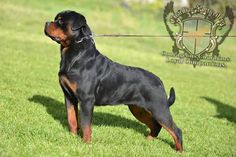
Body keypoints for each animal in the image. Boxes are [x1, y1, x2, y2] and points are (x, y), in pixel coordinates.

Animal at [45, 10, 183, 151]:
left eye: (60, 21)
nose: (47, 22)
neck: (75, 55)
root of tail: (160, 82)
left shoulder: (86, 100)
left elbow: (86, 124)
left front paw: (86, 143)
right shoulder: (69, 97)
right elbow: (72, 118)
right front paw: (72, 137)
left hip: (159, 108)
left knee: (176, 130)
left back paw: (179, 150)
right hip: (138, 109)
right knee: (156, 125)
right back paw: (148, 140)